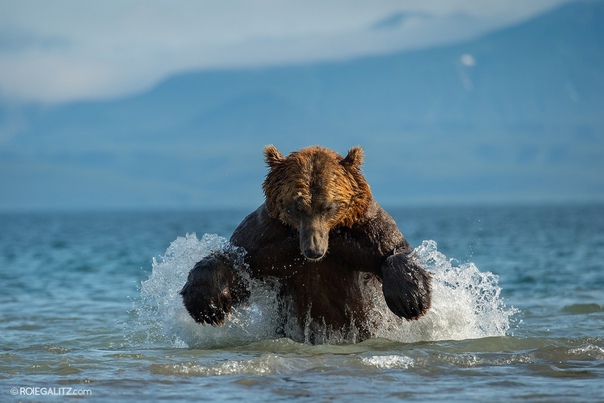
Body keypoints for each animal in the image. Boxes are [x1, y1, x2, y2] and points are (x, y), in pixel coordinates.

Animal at [179, 145, 430, 344]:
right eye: (296, 206)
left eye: (328, 206)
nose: (314, 250)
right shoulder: (264, 239)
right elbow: (236, 267)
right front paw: (207, 305)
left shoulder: (364, 232)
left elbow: (391, 251)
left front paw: (411, 300)